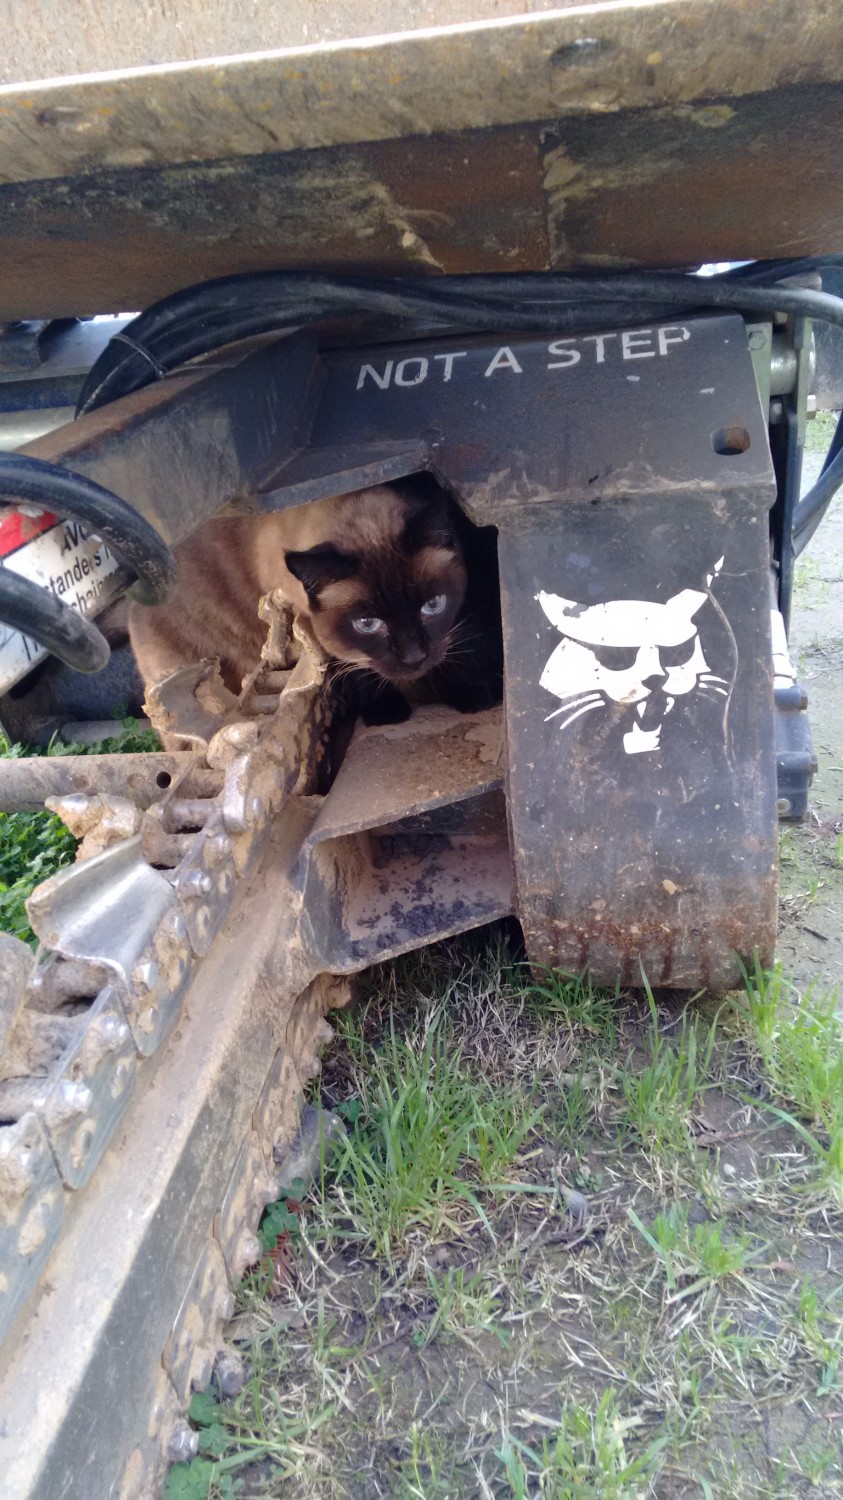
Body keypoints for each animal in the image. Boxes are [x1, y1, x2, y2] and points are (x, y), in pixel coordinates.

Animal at [128, 471, 498, 723]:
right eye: (367, 624)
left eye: (432, 606)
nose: (414, 657)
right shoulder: (313, 629)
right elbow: (356, 668)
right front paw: (385, 713)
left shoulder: (461, 617)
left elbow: (458, 654)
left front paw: (471, 697)